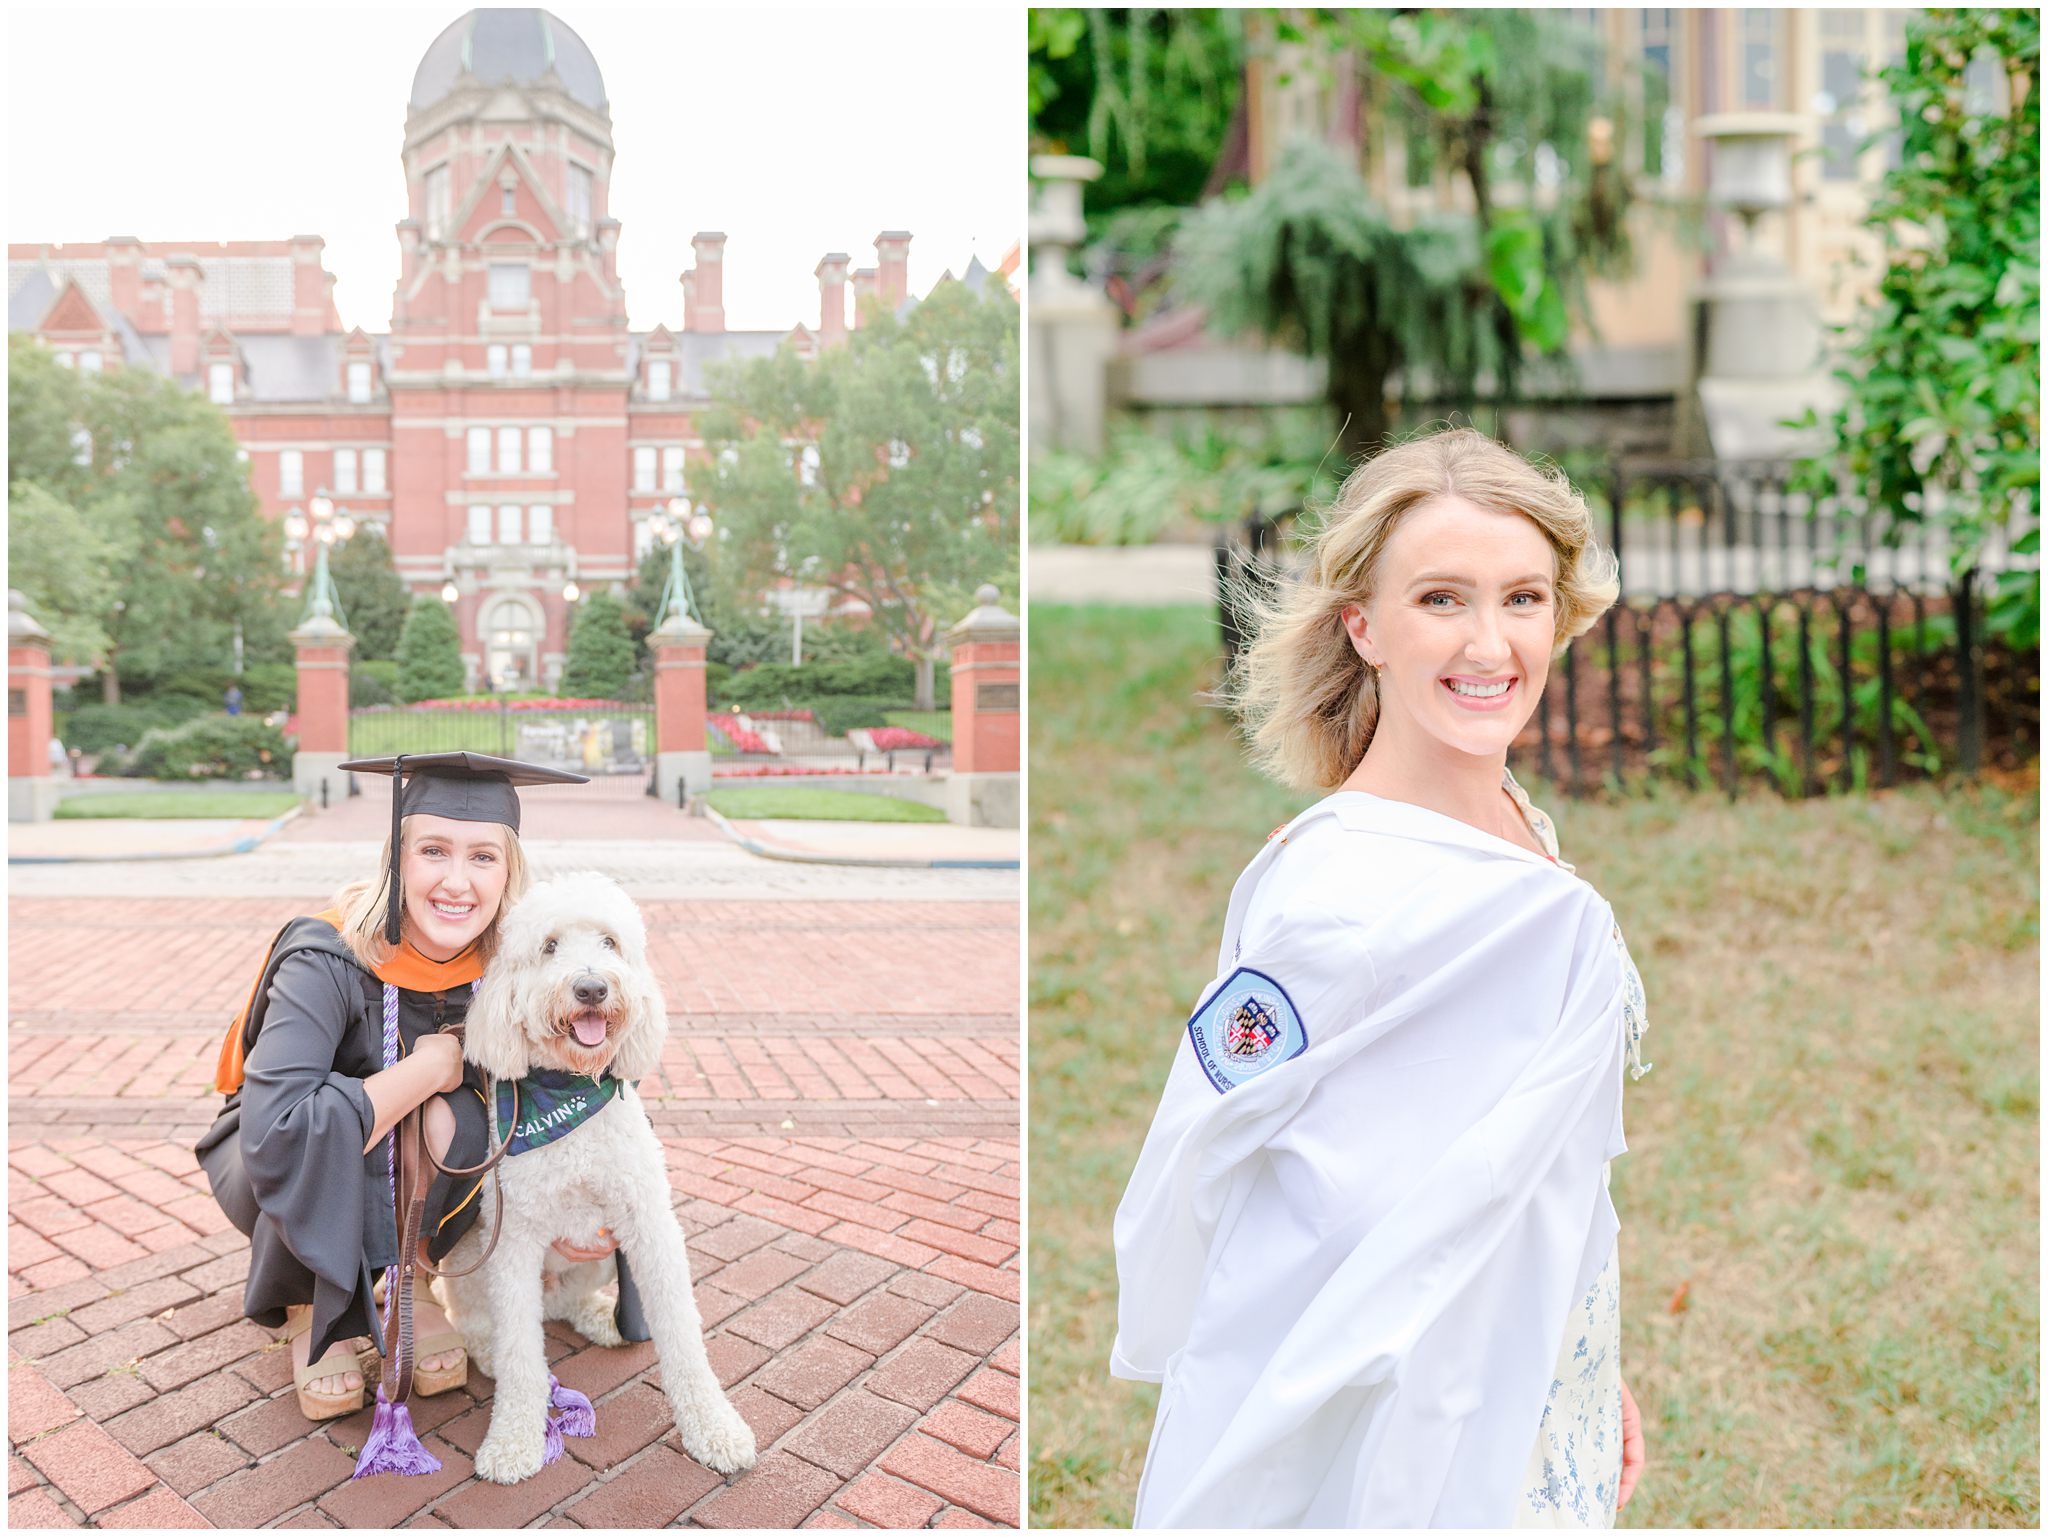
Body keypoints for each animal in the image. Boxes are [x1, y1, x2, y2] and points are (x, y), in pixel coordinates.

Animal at [436, 877, 757, 1491]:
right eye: (549, 946)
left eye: (610, 942)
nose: (590, 987)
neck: (570, 1091)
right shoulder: (511, 1243)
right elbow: (520, 1353)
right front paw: (513, 1440)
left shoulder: (651, 1227)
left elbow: (684, 1337)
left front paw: (714, 1428)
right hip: (468, 1251)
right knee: (487, 1326)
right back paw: (487, 1354)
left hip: (604, 1255)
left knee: (566, 1304)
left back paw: (600, 1318)